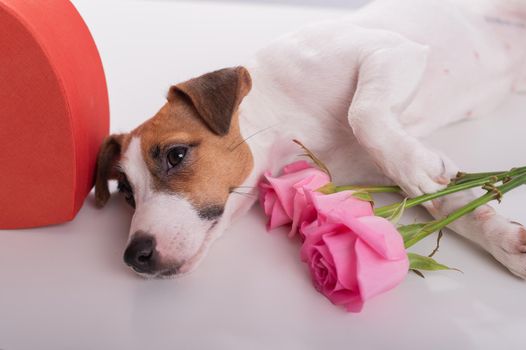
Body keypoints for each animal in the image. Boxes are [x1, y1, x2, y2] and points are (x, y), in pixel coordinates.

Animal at [95, 0, 526, 278]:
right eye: (128, 194)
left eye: (176, 155)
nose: (134, 256)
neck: (284, 120)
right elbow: (456, 205)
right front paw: (504, 240)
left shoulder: (391, 50)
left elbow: (363, 114)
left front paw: (416, 165)